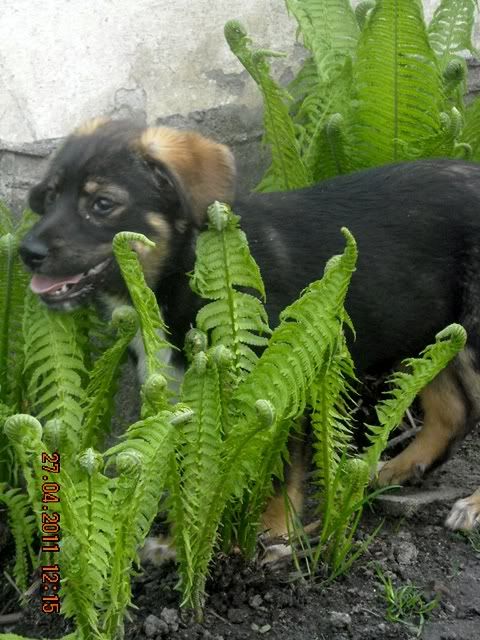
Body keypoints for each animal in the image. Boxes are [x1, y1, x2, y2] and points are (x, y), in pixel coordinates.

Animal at [20, 118, 480, 537]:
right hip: (426, 327)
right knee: (454, 412)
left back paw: (469, 505)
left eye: (102, 204)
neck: (179, 273)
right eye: (51, 196)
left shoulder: (282, 382)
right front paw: (178, 539)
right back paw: (393, 469)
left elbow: (279, 468)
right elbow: (192, 474)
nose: (27, 252)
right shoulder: (182, 392)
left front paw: (274, 530)